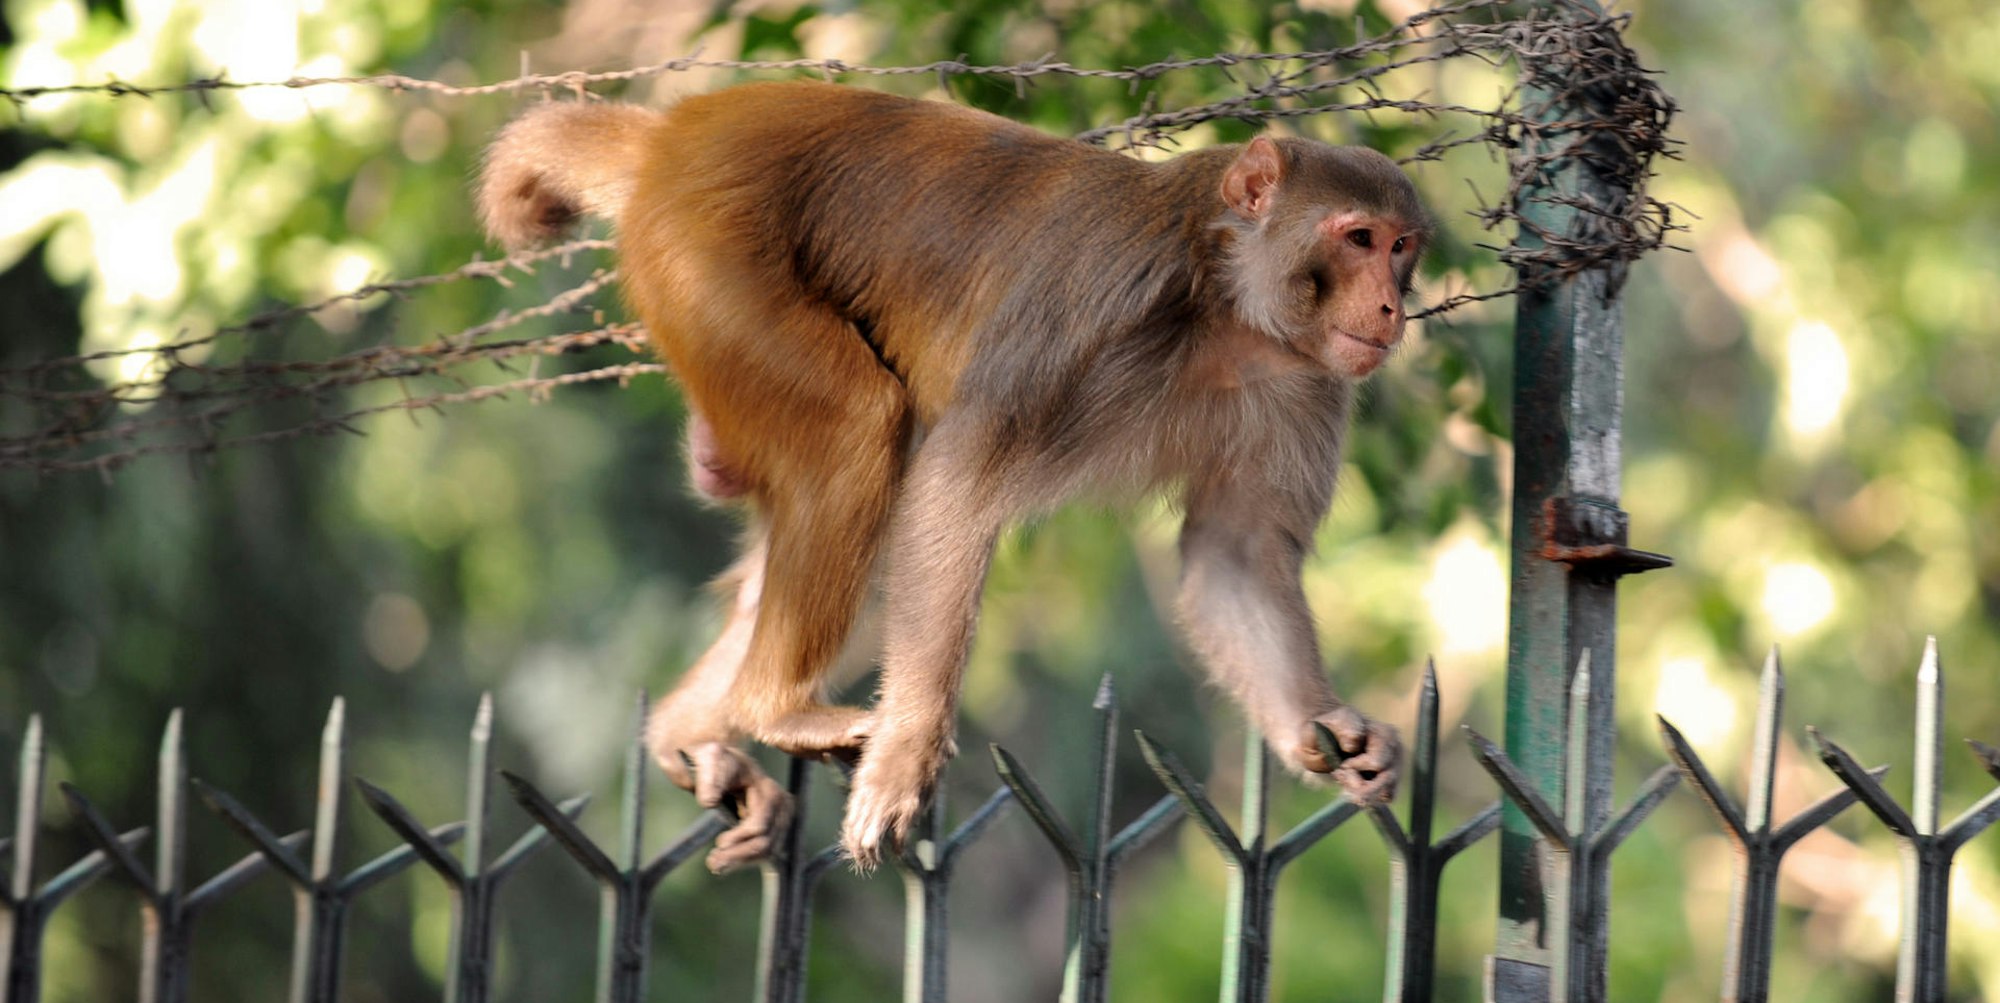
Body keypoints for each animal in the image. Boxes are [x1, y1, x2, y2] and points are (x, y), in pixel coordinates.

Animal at [477, 81, 1422, 872]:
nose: (1392, 307)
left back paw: (691, 728)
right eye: (1357, 239)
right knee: (860, 428)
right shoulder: (1097, 311)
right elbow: (955, 487)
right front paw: (907, 756)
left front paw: (1326, 727)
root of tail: (679, 131)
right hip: (707, 255)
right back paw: (777, 706)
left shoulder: (1305, 385)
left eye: (1402, 248)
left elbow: (1237, 554)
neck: (1227, 306)